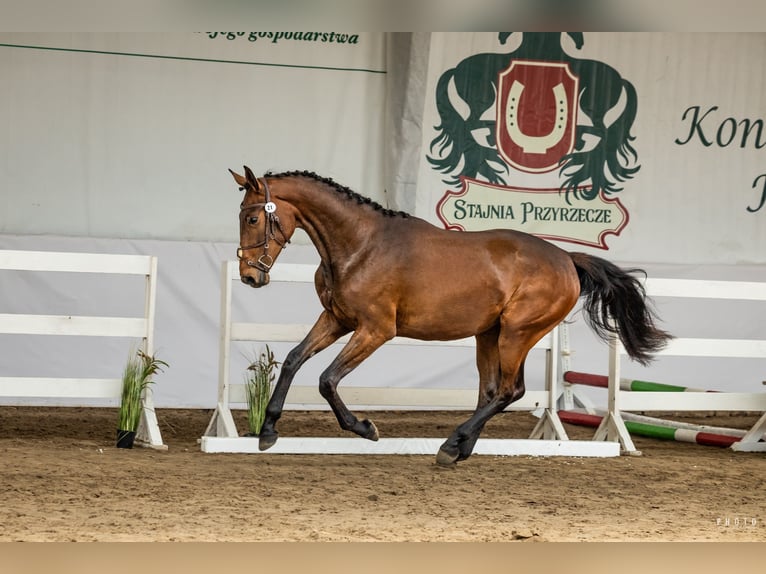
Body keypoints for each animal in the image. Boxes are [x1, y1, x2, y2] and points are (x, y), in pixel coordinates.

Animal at [230, 166, 671, 465]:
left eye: (252, 217)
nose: (250, 276)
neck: (360, 246)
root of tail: (566, 258)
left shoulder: (375, 330)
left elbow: (327, 379)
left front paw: (365, 428)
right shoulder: (336, 320)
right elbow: (293, 360)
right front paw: (267, 432)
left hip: (517, 333)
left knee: (510, 391)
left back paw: (450, 444)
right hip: (489, 335)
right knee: (491, 392)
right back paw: (459, 448)